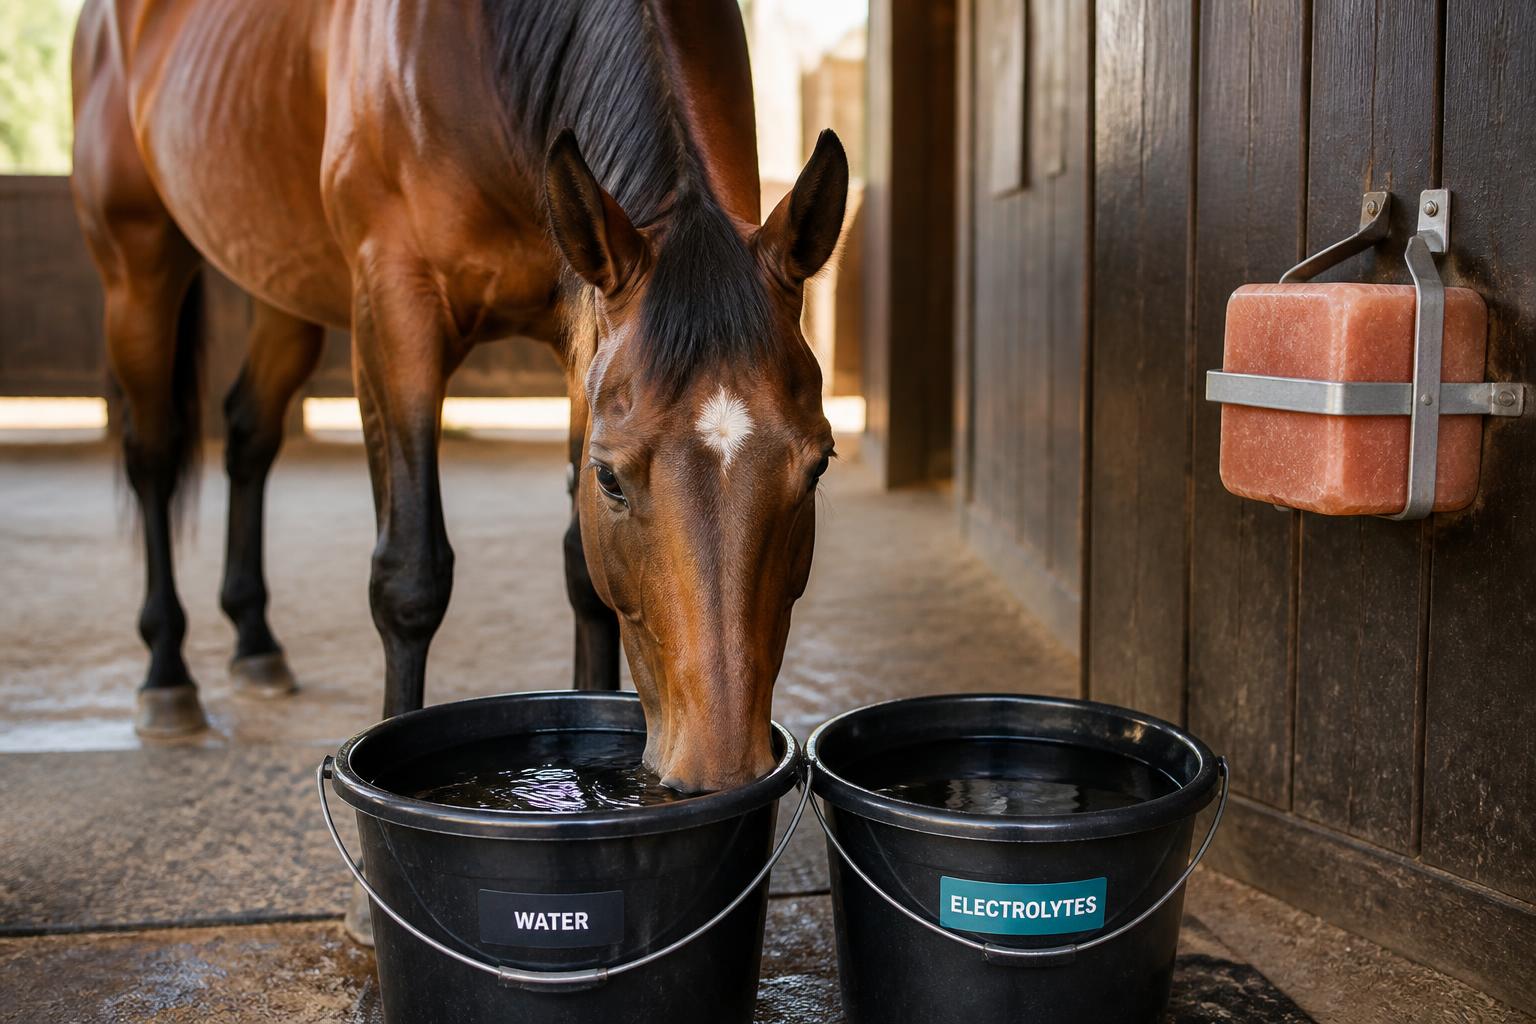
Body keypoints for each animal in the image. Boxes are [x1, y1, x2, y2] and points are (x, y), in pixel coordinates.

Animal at [71, 0, 847, 794]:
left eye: (818, 465)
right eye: (609, 478)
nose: (721, 771)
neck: (481, 55)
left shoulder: (579, 339)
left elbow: (582, 570)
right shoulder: (395, 308)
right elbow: (409, 578)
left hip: (280, 291)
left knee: (248, 432)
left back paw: (255, 641)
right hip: (137, 266)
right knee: (153, 454)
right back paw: (166, 677)